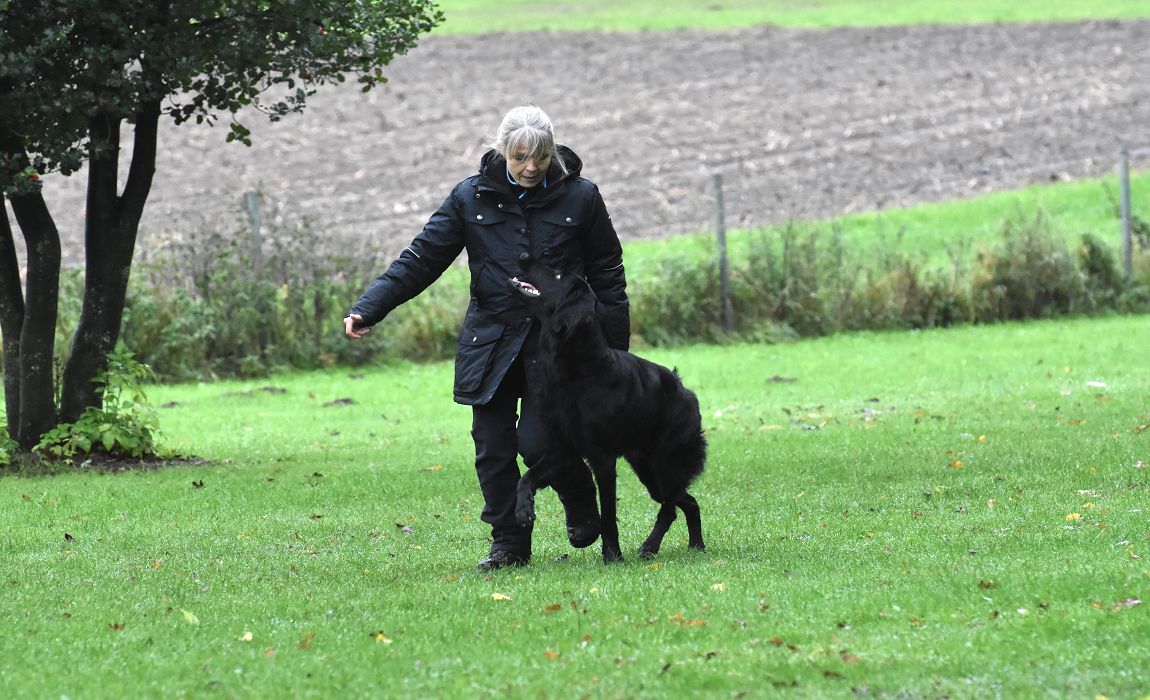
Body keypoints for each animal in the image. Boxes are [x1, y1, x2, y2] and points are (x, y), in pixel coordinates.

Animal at [510, 254, 703, 558]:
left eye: (557, 274)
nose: (523, 256)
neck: (577, 372)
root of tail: (686, 392)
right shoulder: (564, 447)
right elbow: (527, 477)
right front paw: (523, 509)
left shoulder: (603, 458)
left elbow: (609, 512)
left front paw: (612, 554)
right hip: (648, 470)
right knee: (685, 502)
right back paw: (690, 545)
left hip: (663, 466)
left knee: (671, 507)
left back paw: (657, 545)